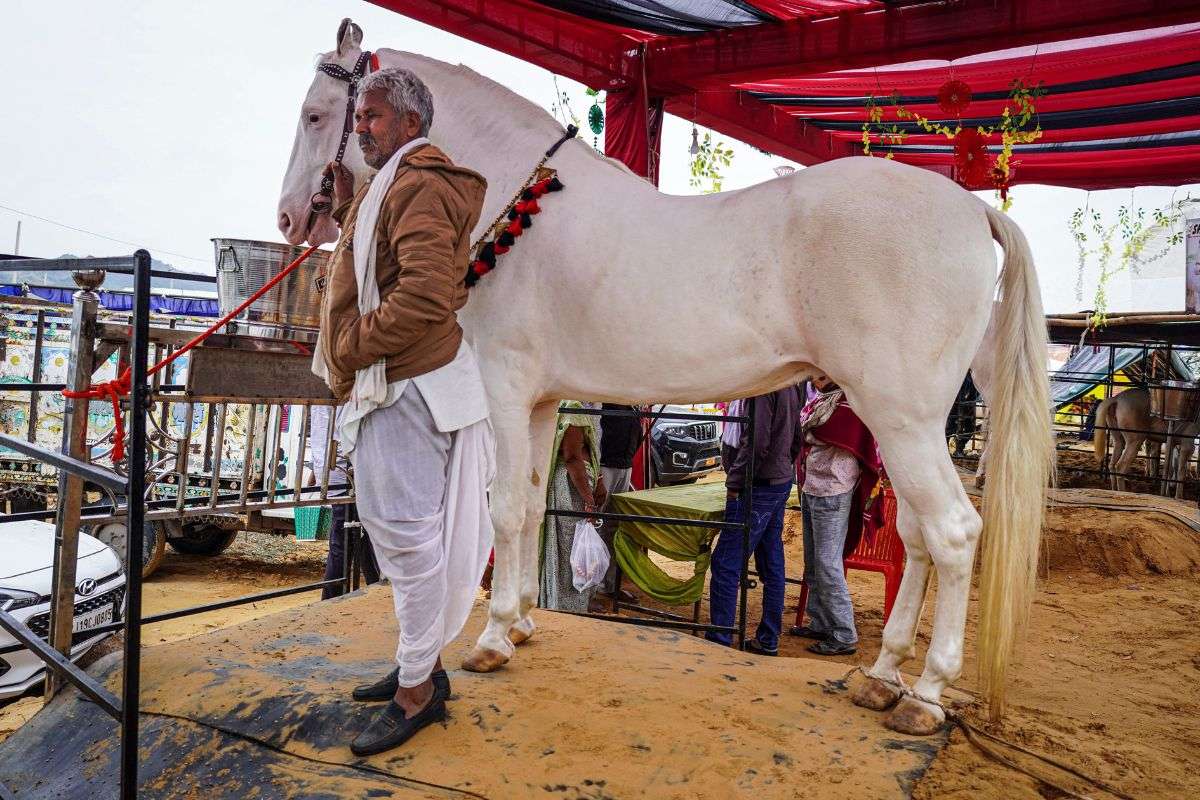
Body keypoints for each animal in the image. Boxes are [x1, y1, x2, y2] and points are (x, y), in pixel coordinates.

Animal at [276, 18, 1053, 735]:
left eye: (317, 115)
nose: (287, 219)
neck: (521, 204)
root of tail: (970, 207)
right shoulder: (540, 401)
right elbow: (533, 503)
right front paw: (521, 621)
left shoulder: (503, 386)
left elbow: (505, 511)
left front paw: (493, 640)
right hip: (907, 422)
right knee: (921, 537)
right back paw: (885, 676)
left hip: (901, 417)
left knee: (954, 533)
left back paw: (925, 695)